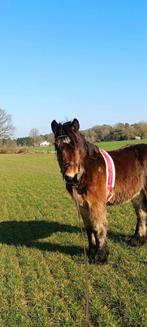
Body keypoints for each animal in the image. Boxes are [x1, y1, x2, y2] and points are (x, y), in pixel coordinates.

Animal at [50, 119, 147, 266]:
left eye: (75, 144)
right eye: (57, 146)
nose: (70, 176)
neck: (87, 170)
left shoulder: (96, 204)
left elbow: (98, 227)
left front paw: (100, 256)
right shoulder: (82, 205)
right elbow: (89, 228)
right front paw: (91, 251)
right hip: (138, 195)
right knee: (141, 214)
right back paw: (137, 241)